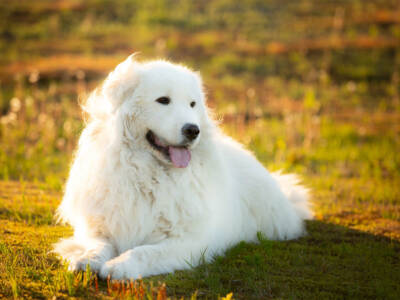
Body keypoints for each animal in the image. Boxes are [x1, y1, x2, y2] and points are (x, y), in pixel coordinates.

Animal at [54, 54, 312, 278]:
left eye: (192, 104)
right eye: (163, 100)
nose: (192, 130)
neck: (148, 175)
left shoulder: (188, 241)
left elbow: (144, 252)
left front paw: (121, 266)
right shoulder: (98, 227)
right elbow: (97, 246)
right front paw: (86, 260)